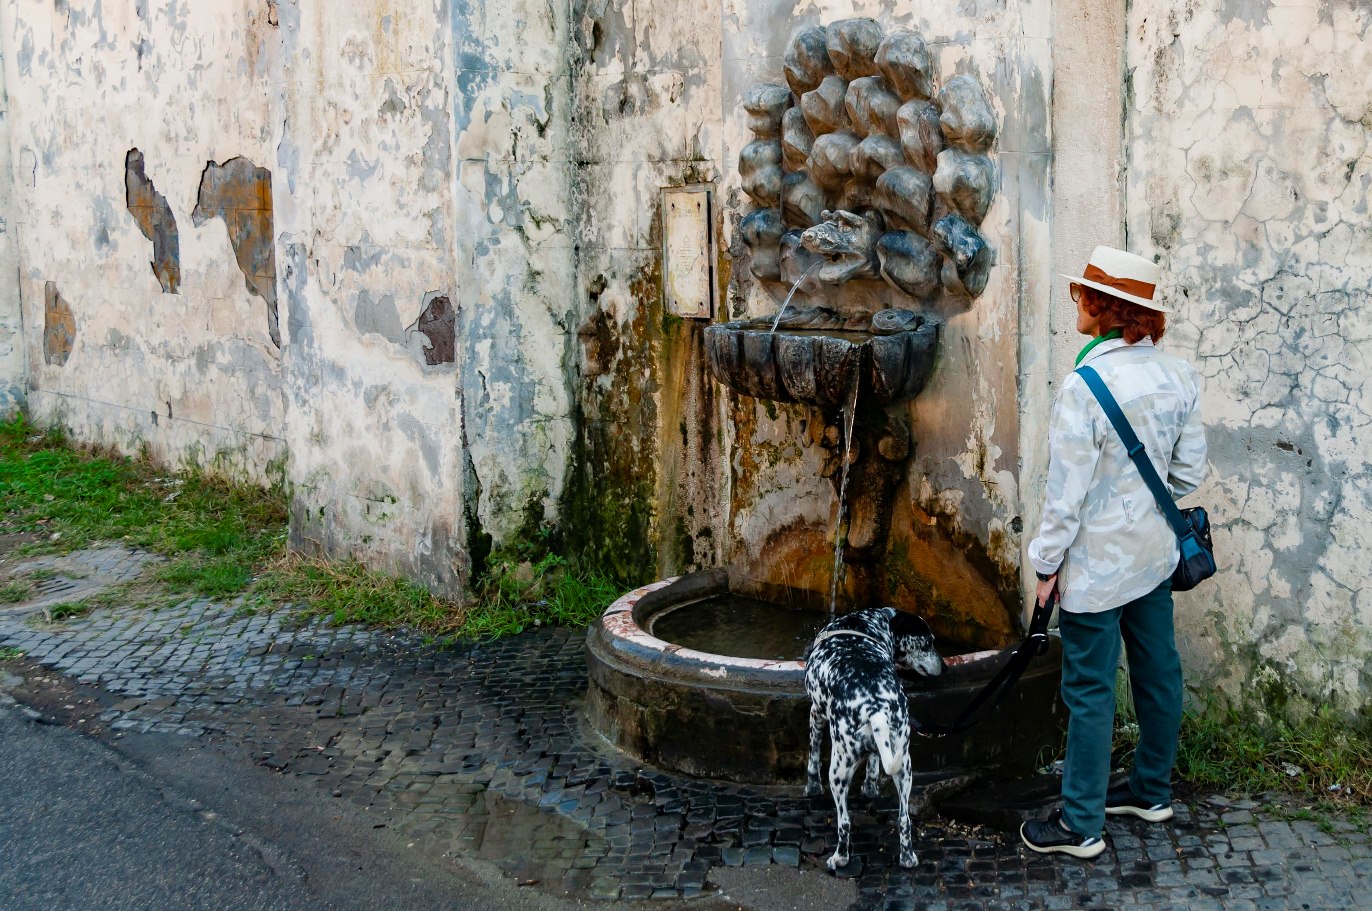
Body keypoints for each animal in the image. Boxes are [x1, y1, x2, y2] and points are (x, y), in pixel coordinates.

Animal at [801, 609, 943, 872]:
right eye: (927, 643)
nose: (946, 666)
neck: (867, 627)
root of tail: (874, 708)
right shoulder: (882, 752)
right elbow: (874, 766)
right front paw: (870, 788)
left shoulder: (816, 713)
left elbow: (812, 759)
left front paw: (812, 788)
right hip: (904, 770)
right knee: (904, 820)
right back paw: (908, 859)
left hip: (838, 772)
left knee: (844, 821)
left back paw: (839, 858)